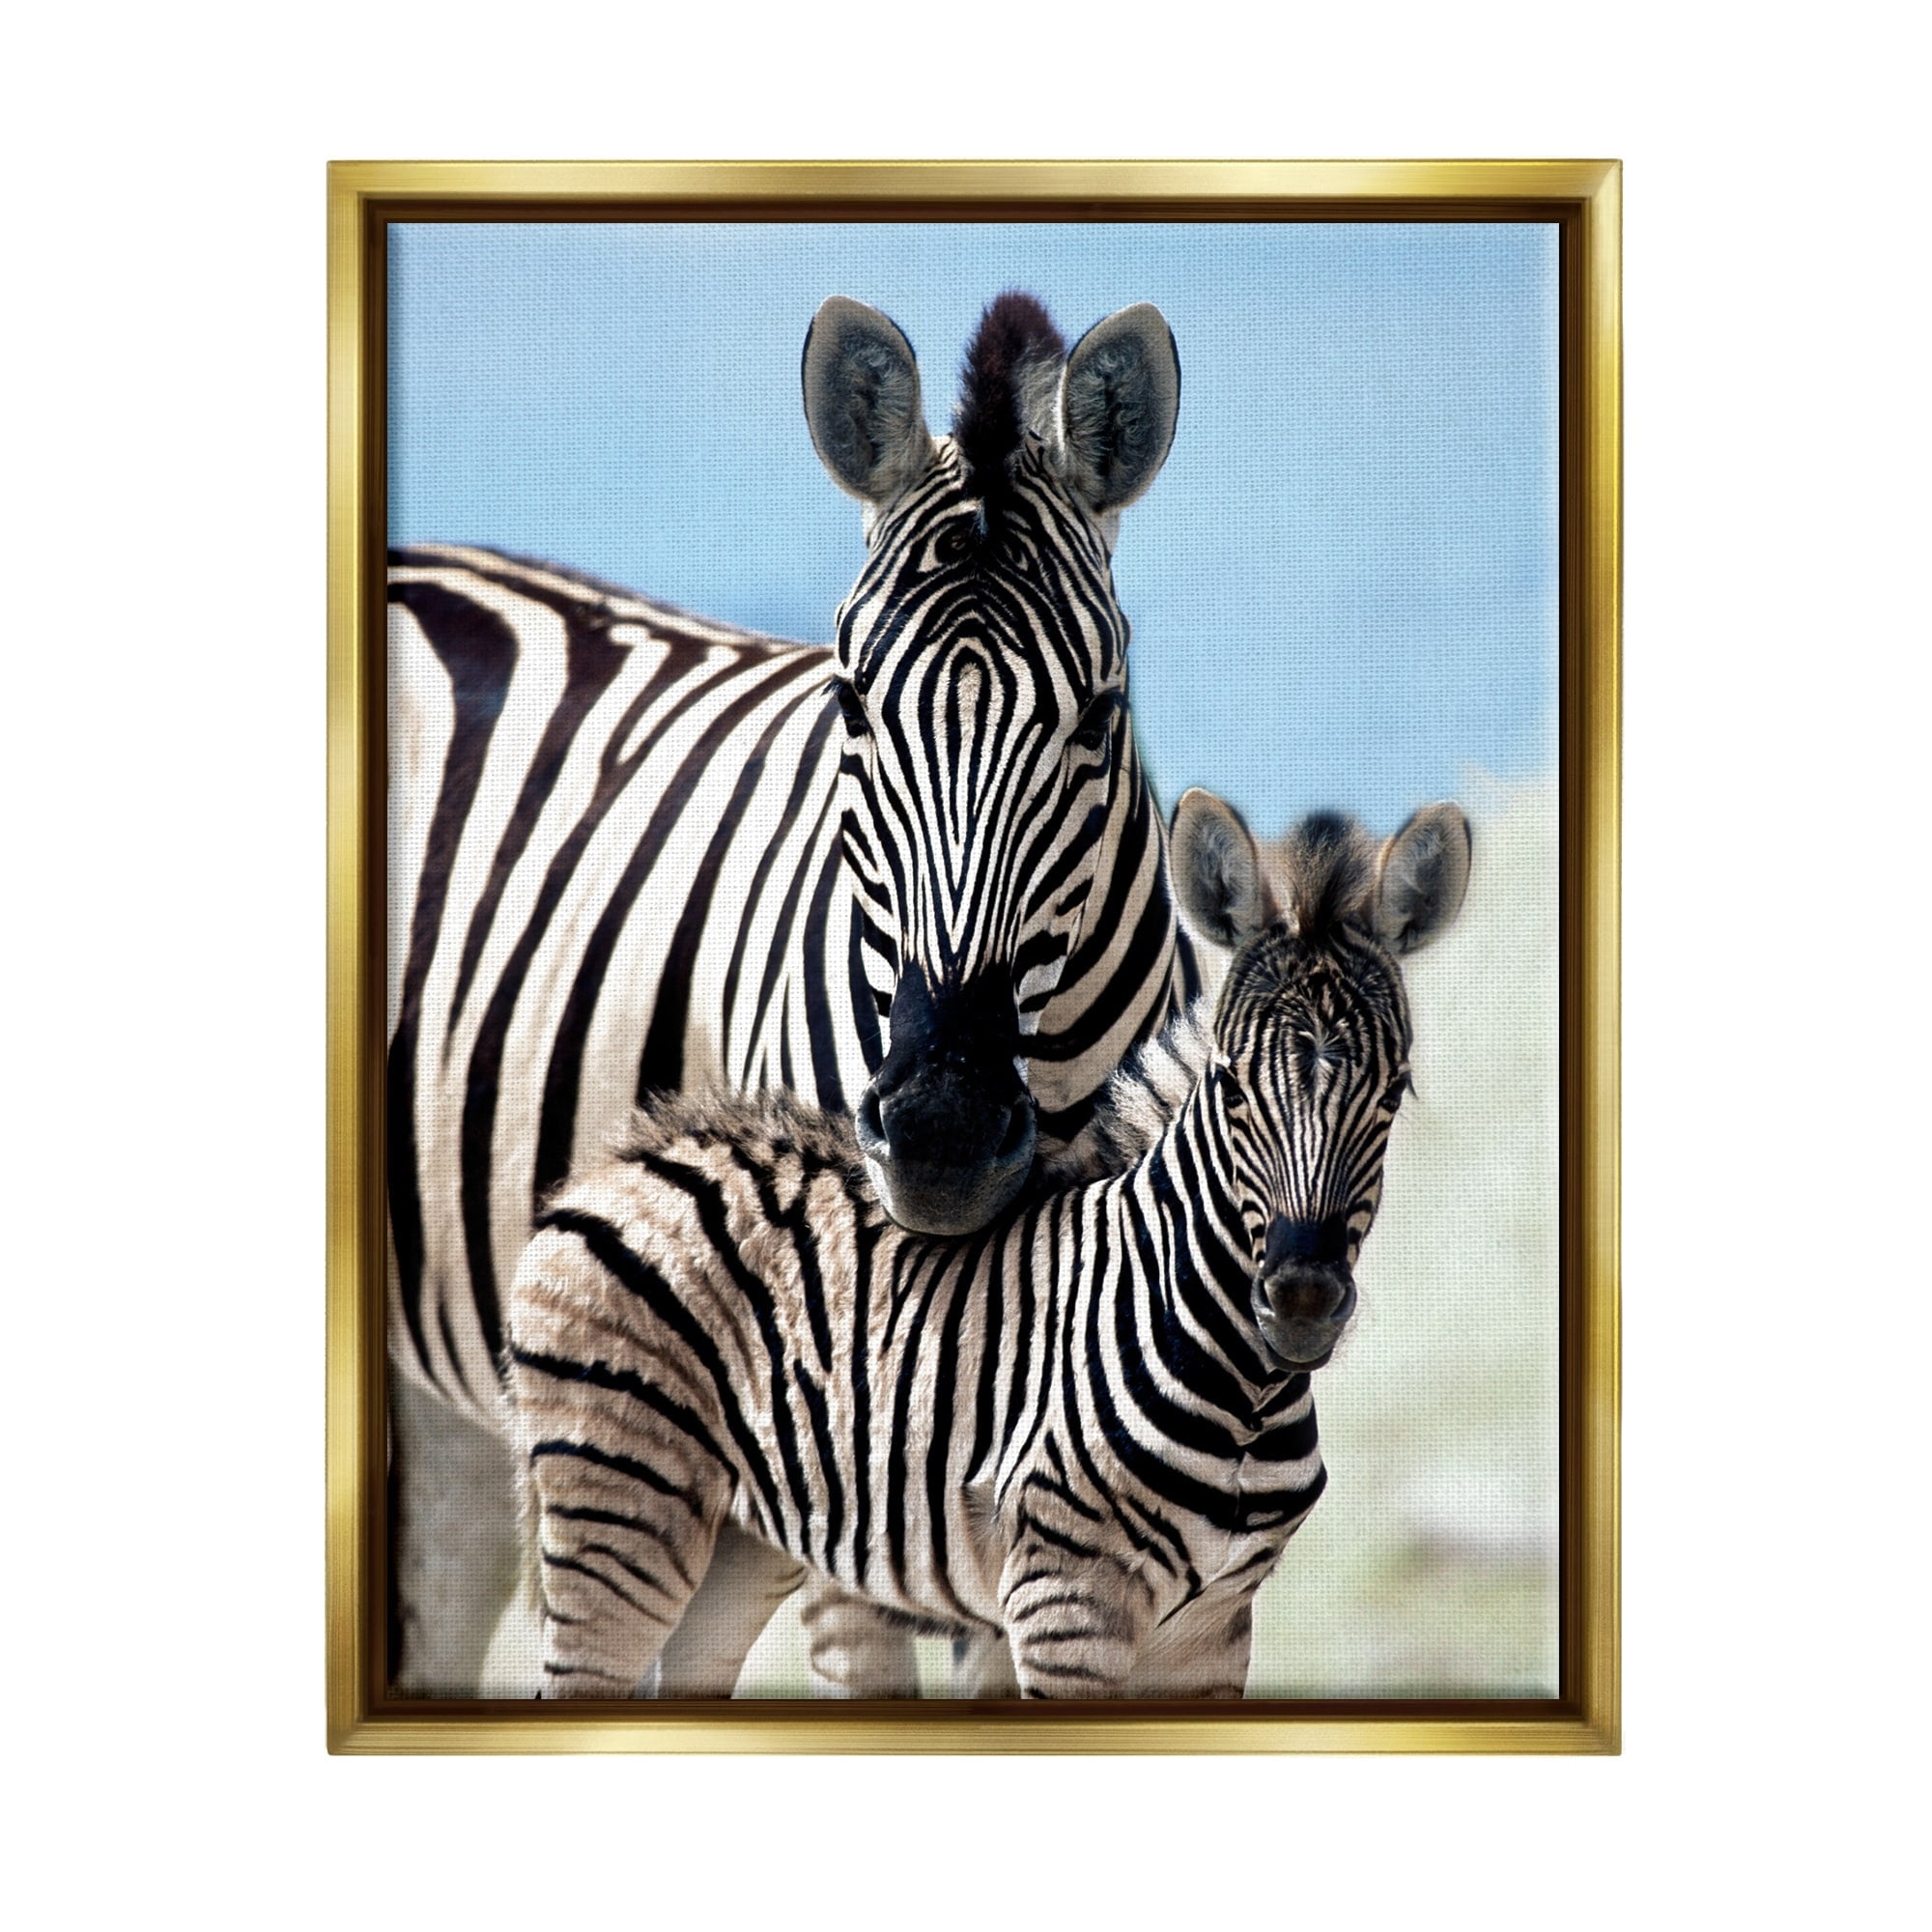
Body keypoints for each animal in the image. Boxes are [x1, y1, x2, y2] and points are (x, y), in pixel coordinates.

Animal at [504, 788, 1472, 1699]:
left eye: (1396, 1092)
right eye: (1232, 1087)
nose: (1303, 1299)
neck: (1244, 1388)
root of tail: (619, 1162)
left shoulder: (1215, 1625)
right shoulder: (1067, 1600)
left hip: (738, 1547)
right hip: (621, 1508)